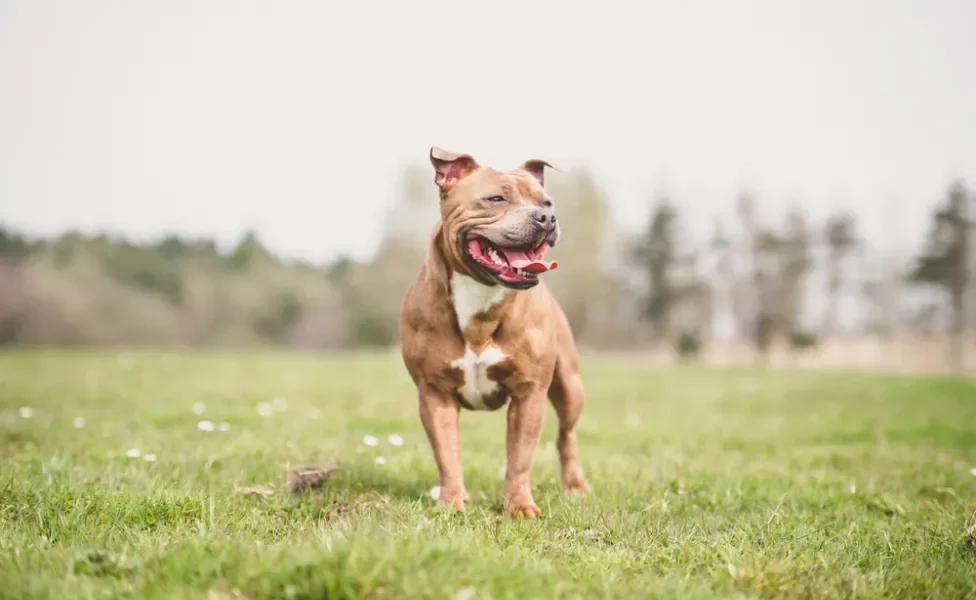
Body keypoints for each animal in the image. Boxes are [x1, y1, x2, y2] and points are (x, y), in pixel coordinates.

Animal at [400, 146, 592, 520]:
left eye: (546, 202)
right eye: (496, 199)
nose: (546, 218)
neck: (481, 295)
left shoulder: (528, 394)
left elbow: (519, 458)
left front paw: (519, 506)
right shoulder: (434, 393)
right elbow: (447, 454)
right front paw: (452, 501)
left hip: (569, 386)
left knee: (567, 436)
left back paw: (575, 486)